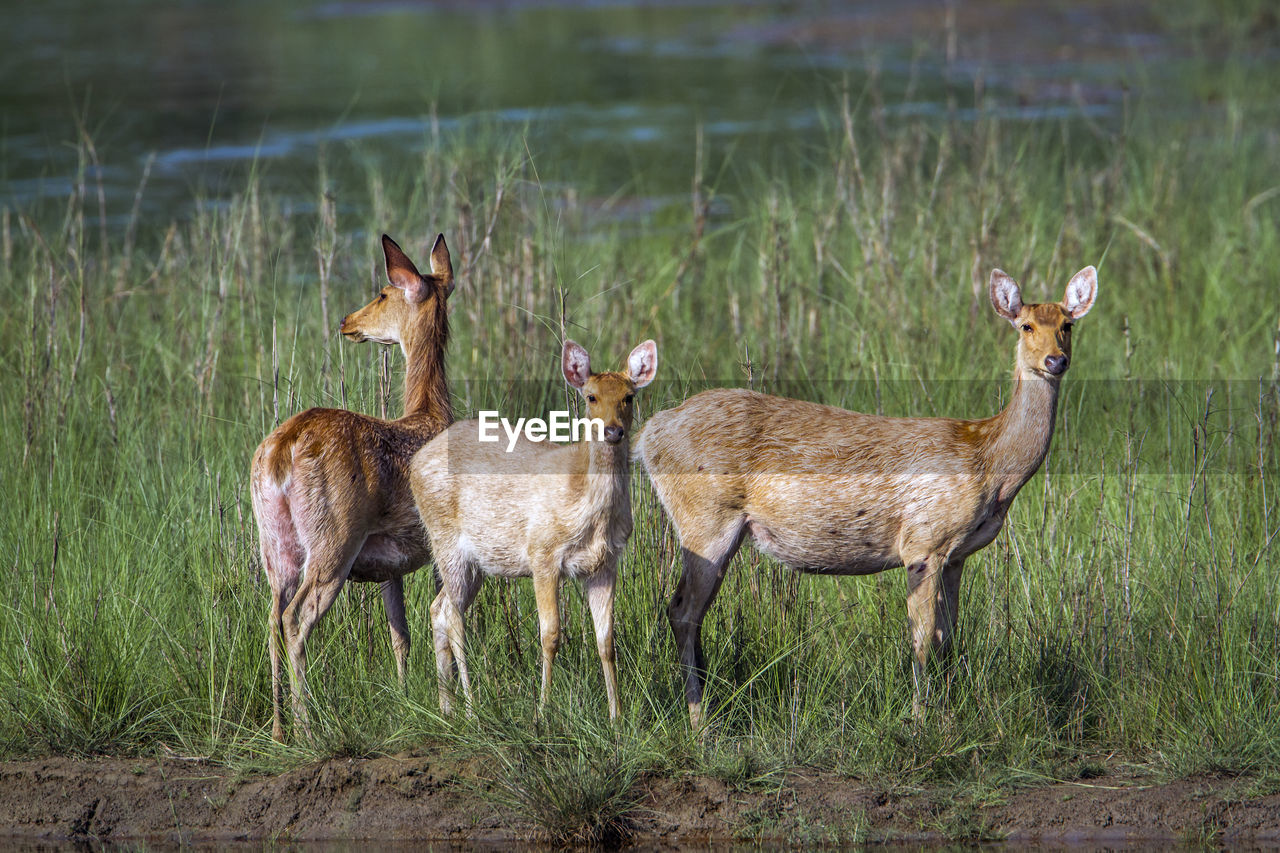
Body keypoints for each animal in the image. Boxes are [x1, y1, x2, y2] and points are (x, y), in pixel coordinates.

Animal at [249, 230, 455, 737]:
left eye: (381, 294)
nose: (347, 320)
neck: (431, 414)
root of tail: (281, 450)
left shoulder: (390, 563)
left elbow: (400, 634)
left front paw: (405, 699)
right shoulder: (439, 543)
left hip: (274, 542)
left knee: (270, 617)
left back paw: (279, 729)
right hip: (334, 537)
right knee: (295, 617)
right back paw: (307, 727)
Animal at [412, 338, 660, 717]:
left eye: (629, 396)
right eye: (590, 397)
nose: (613, 431)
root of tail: (414, 462)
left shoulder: (605, 563)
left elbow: (606, 640)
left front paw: (616, 716)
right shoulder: (542, 553)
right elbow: (551, 635)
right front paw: (542, 712)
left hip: (476, 563)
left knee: (437, 610)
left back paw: (447, 707)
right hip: (445, 540)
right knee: (450, 614)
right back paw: (471, 707)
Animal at [634, 262, 1095, 722]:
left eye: (1068, 325)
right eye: (1026, 325)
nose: (1056, 360)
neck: (989, 461)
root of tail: (649, 434)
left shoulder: (956, 554)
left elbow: (948, 637)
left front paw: (947, 713)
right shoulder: (923, 542)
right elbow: (922, 639)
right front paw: (920, 720)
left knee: (690, 612)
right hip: (706, 517)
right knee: (681, 610)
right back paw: (699, 720)